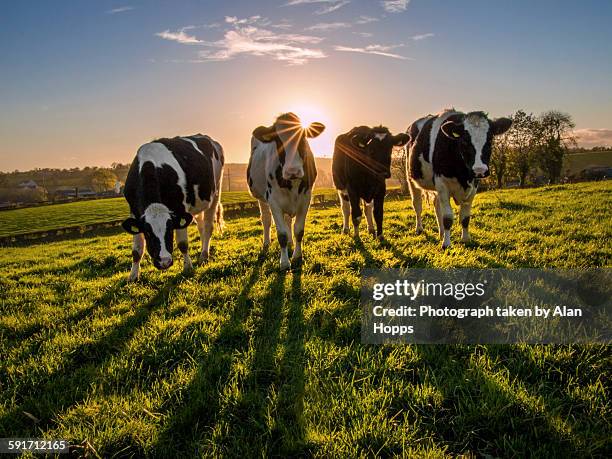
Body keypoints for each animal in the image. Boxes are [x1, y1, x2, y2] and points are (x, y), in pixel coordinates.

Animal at [120, 135, 224, 282]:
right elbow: (137, 250)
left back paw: (204, 255)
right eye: (148, 233)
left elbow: (182, 244)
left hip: (215, 192)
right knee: (201, 226)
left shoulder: (180, 209)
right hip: (198, 204)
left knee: (209, 226)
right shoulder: (135, 213)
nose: (164, 262)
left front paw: (188, 268)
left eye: (170, 230)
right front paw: (133, 276)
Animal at [247, 112, 328, 270]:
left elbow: (298, 230)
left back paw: (290, 242)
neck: (292, 183)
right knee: (266, 220)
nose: (293, 171)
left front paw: (297, 256)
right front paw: (284, 262)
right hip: (261, 198)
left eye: (303, 138)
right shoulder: (273, 201)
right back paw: (266, 242)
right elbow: (282, 234)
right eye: (278, 141)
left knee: (288, 220)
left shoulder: (306, 199)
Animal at [406, 110, 512, 250]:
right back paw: (419, 229)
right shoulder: (442, 184)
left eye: (490, 139)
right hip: (411, 179)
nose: (479, 170)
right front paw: (446, 244)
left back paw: (441, 233)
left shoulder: (473, 186)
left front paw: (466, 239)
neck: (463, 175)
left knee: (436, 206)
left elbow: (465, 217)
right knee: (417, 205)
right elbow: (447, 218)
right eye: (465, 141)